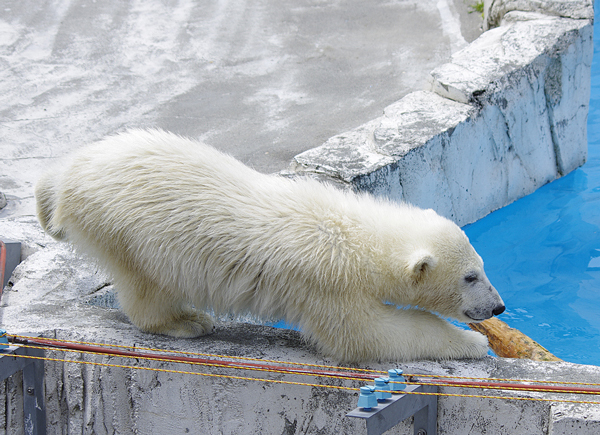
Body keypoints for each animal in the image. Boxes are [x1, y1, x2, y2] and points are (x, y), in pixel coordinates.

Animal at [36, 129, 506, 362]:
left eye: (483, 264)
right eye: (470, 277)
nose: (498, 307)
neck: (353, 235)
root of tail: (68, 173)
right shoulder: (325, 284)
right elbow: (366, 336)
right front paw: (472, 344)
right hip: (125, 229)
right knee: (146, 283)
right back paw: (187, 322)